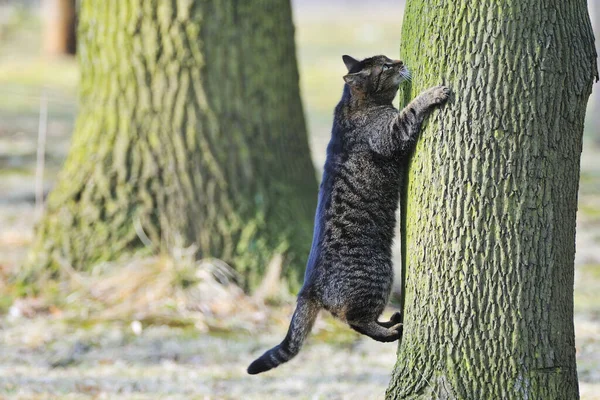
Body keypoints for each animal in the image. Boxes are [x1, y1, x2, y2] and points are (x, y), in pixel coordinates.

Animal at [246, 54, 448, 374]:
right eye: (386, 66)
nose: (399, 60)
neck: (353, 106)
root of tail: (309, 287)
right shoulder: (391, 134)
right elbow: (411, 109)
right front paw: (432, 94)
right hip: (379, 275)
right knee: (356, 321)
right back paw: (390, 330)